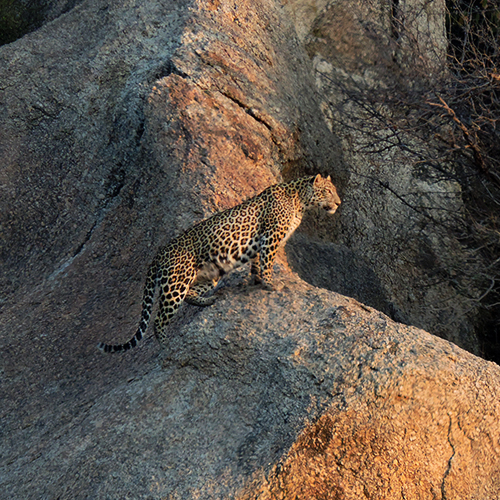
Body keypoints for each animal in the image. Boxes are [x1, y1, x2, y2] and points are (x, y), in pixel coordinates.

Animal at [97, 174, 340, 354]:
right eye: (328, 190)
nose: (338, 203)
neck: (300, 201)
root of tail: (158, 254)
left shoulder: (261, 241)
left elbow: (256, 263)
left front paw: (256, 281)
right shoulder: (271, 236)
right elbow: (267, 262)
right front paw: (270, 284)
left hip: (209, 275)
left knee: (190, 295)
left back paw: (209, 300)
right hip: (176, 283)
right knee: (159, 319)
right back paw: (167, 346)